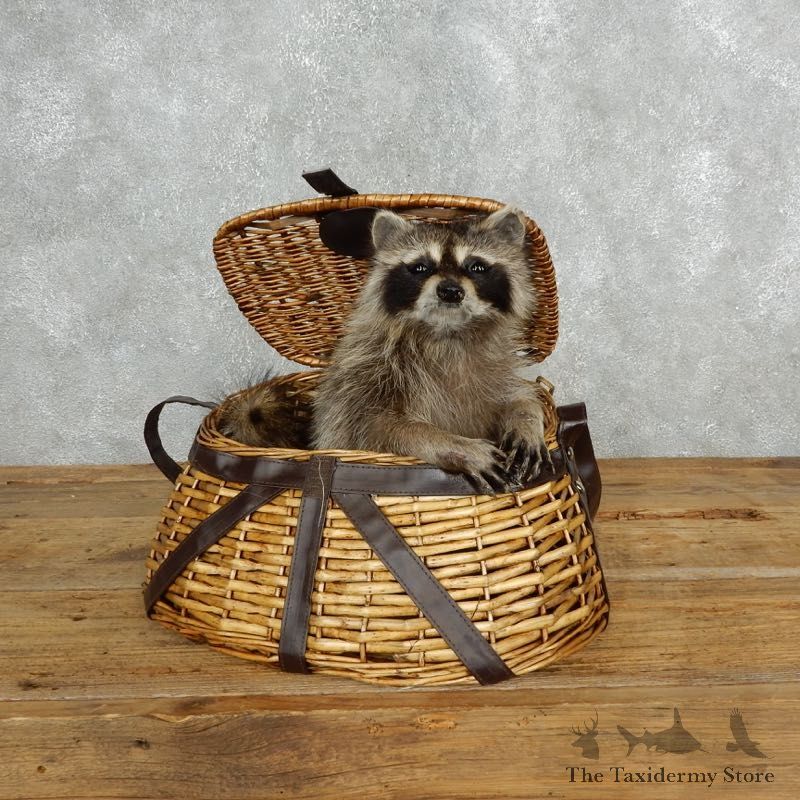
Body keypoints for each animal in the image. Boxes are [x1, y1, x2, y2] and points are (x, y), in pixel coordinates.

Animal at [311, 206, 551, 494]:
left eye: (476, 266)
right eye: (420, 267)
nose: (450, 291)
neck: (447, 333)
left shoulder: (494, 366)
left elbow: (518, 394)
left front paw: (526, 418)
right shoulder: (362, 378)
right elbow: (378, 431)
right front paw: (454, 445)